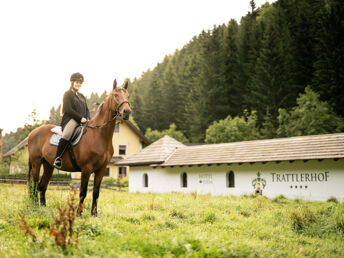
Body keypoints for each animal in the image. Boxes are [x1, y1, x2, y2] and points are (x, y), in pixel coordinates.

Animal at [26, 80, 131, 216]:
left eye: (128, 96)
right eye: (116, 95)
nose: (127, 112)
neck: (99, 134)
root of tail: (33, 133)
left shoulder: (102, 169)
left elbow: (96, 192)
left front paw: (94, 214)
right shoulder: (86, 169)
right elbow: (83, 192)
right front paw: (79, 214)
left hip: (48, 165)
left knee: (42, 186)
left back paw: (43, 208)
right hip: (36, 163)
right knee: (34, 186)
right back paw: (35, 208)